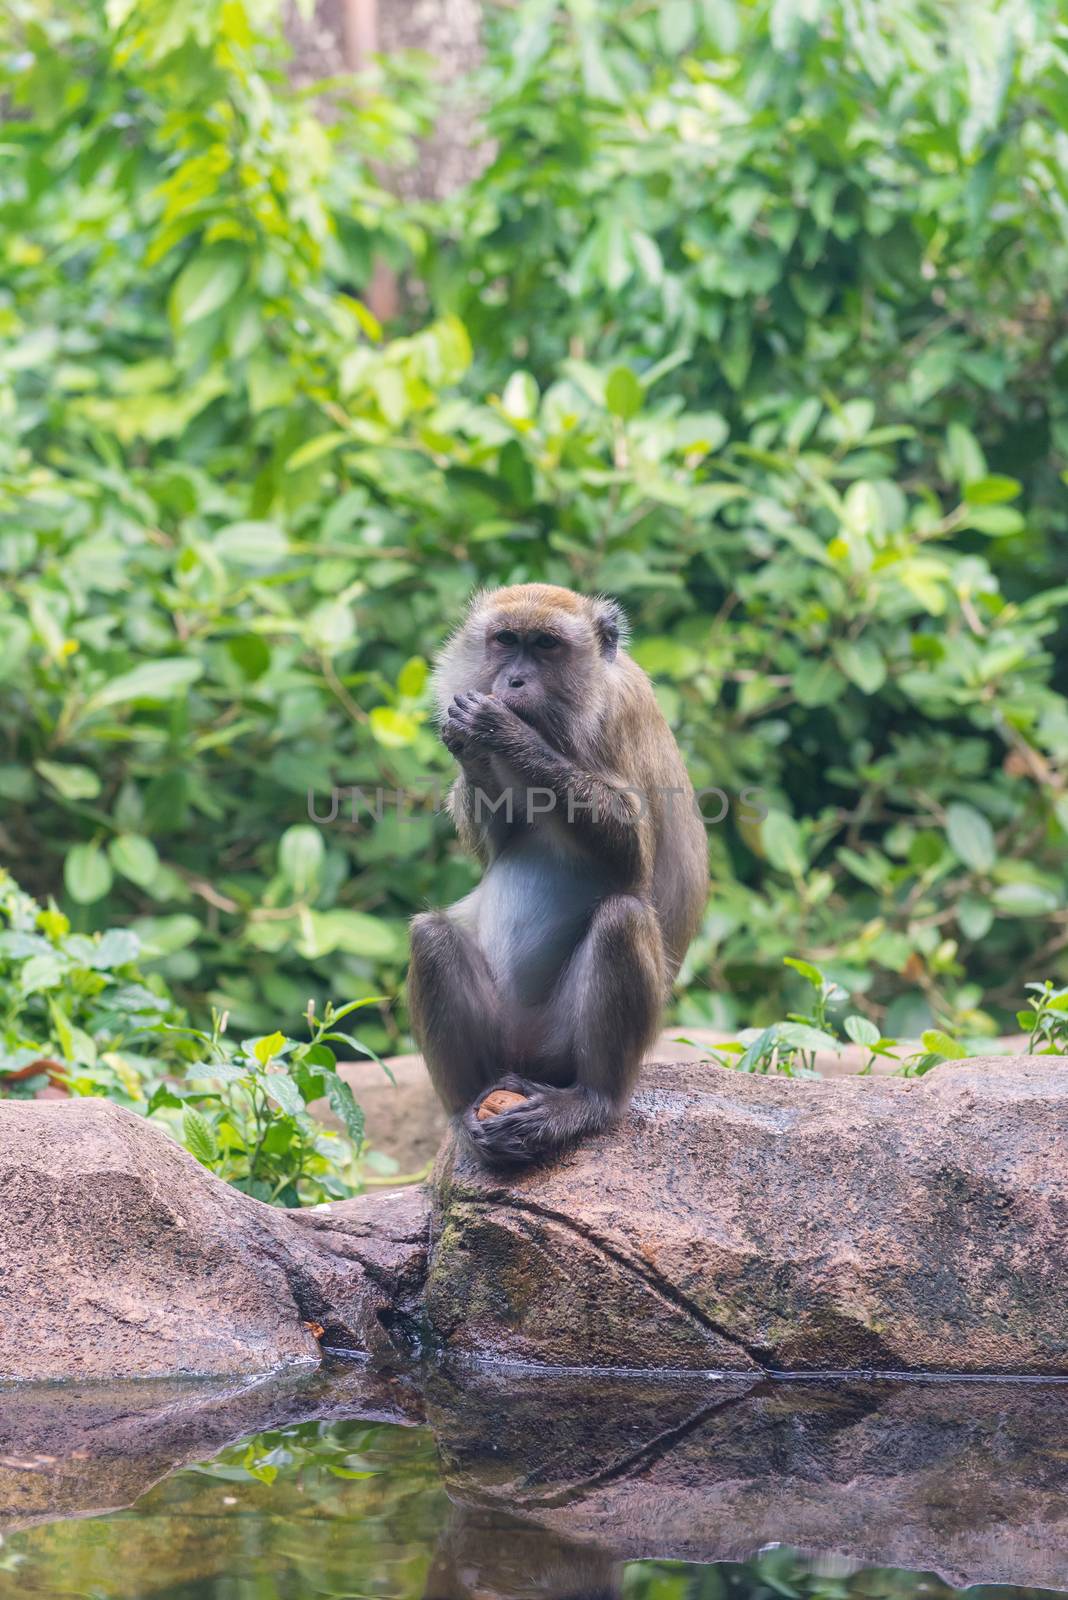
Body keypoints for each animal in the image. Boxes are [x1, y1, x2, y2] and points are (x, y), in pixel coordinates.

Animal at [409, 582, 709, 1171]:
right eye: (506, 641)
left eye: (546, 645)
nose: (513, 682)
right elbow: (495, 845)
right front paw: (468, 743)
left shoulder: (619, 717)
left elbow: (632, 855)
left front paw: (503, 734)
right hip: (502, 1042)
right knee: (430, 937)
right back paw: (465, 1112)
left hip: (561, 1045)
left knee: (623, 918)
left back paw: (591, 1102)